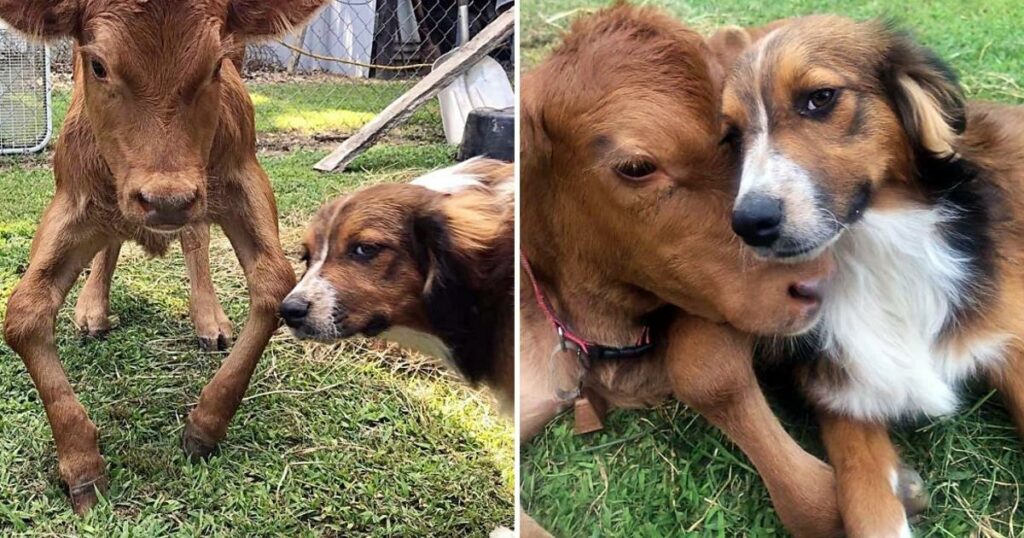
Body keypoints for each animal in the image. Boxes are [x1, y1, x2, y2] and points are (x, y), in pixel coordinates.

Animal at [0, 0, 325, 512]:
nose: (166, 200)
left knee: (196, 237)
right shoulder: (72, 197)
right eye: (98, 65)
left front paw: (207, 423)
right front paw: (80, 463)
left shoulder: (241, 176)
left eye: (216, 64)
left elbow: (274, 286)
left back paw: (207, 316)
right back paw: (94, 307)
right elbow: (24, 313)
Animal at [720, 14, 1024, 532]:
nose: (750, 224)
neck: (871, 255)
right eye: (733, 137)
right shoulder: (841, 393)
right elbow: (868, 508)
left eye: (820, 98)